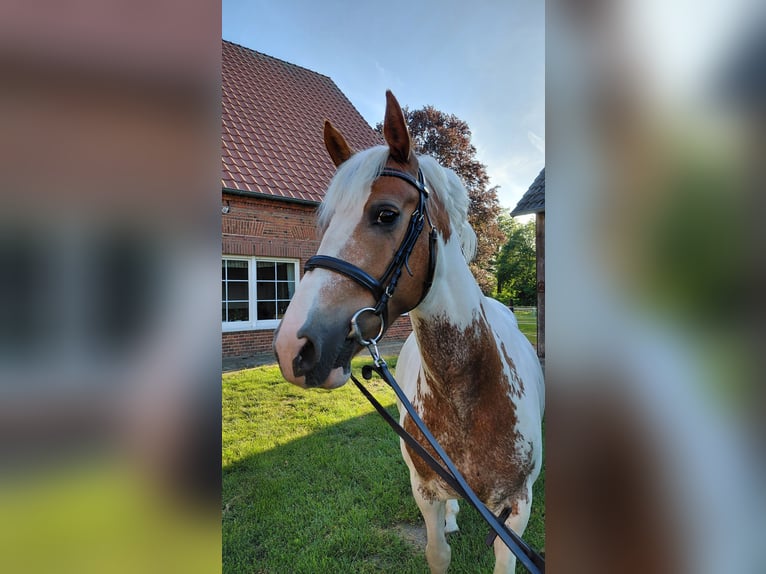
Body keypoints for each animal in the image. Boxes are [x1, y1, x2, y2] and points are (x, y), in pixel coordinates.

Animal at [274, 90, 544, 574]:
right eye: (324, 224)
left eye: (386, 214)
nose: (293, 347)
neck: (471, 394)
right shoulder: (425, 492)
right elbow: (437, 552)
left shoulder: (518, 508)